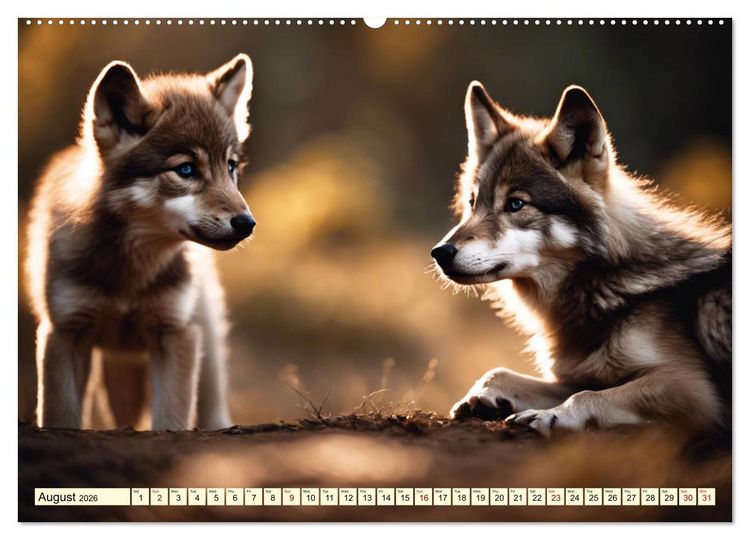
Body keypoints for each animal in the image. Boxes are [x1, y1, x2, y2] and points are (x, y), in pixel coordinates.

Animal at [26, 54, 256, 430]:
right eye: (186, 170)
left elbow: (171, 420)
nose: (247, 223)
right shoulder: (64, 333)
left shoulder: (175, 334)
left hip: (202, 351)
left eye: (231, 166)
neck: (131, 277)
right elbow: (60, 415)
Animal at [431, 82, 731, 437]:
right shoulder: (580, 373)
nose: (440, 252)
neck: (602, 286)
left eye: (516, 204)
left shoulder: (690, 386)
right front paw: (487, 398)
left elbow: (586, 396)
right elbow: (501, 372)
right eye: (473, 203)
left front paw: (550, 416)